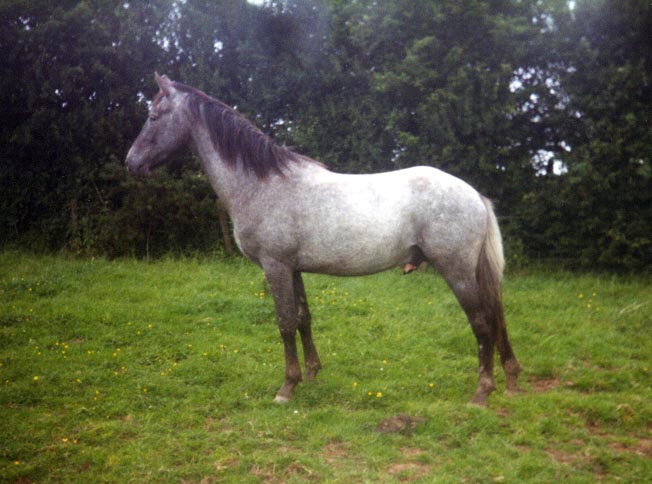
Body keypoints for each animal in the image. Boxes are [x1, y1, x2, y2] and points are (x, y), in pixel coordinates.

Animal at [127, 73, 524, 406]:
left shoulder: (274, 266)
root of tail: (475, 195)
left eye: (153, 116)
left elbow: (285, 323)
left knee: (482, 323)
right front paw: (312, 374)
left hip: (456, 271)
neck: (262, 183)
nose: (131, 162)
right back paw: (511, 380)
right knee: (496, 317)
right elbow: (304, 318)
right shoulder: (293, 269)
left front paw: (287, 387)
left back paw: (482, 393)